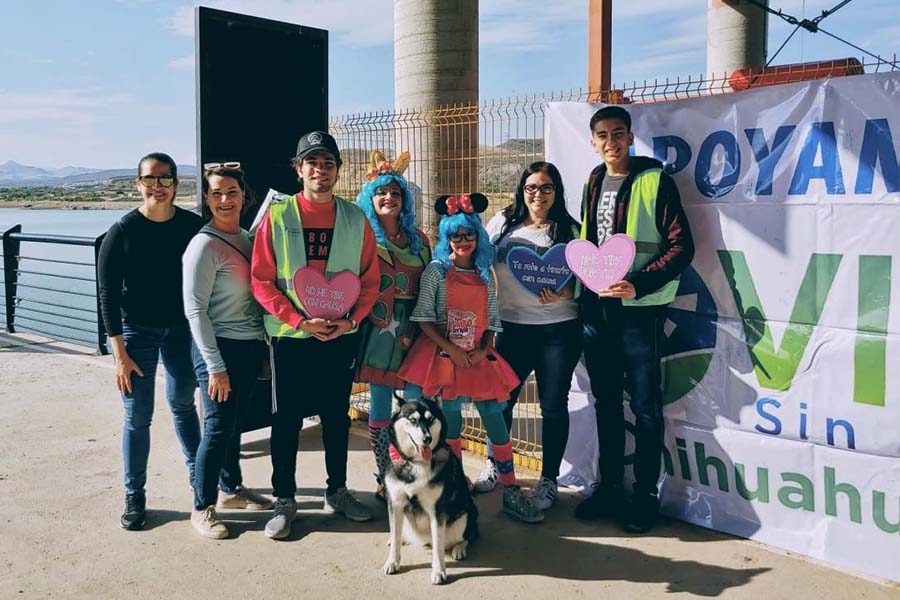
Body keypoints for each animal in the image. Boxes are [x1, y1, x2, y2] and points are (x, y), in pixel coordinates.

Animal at [382, 396, 478, 584]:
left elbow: (438, 548)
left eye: (431, 419)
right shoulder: (395, 504)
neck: (416, 463)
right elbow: (395, 536)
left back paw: (459, 548)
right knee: (399, 533)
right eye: (412, 420)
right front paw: (392, 561)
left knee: (466, 537)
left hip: (465, 516)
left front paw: (439, 571)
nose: (427, 438)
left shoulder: (437, 510)